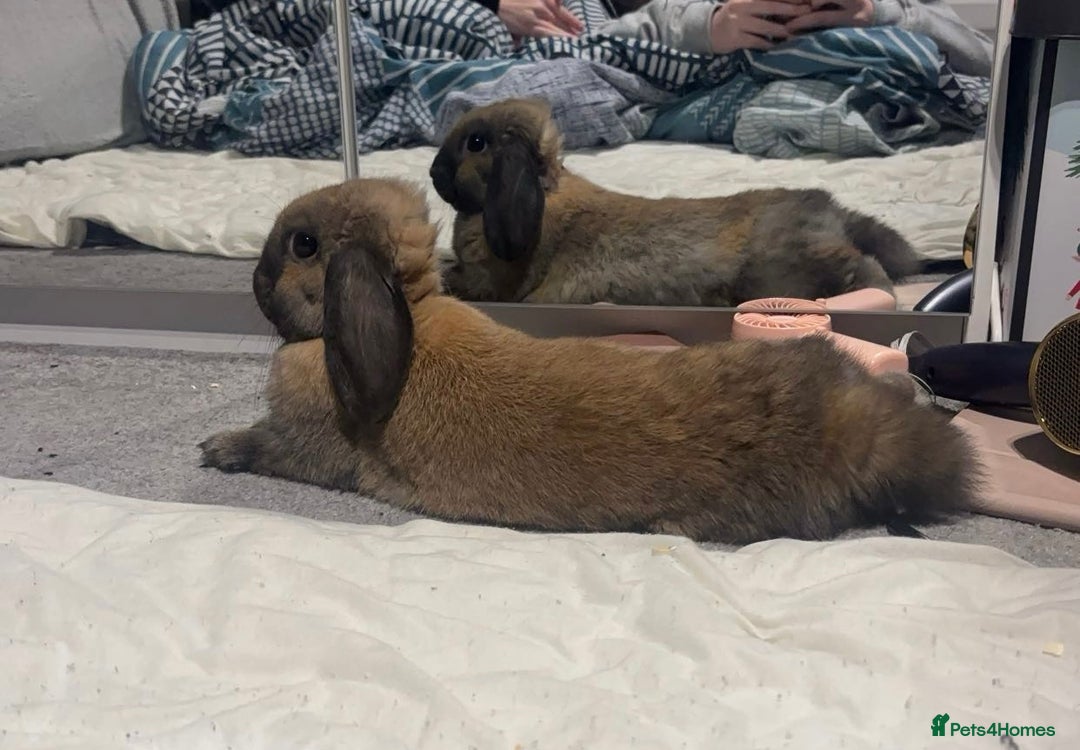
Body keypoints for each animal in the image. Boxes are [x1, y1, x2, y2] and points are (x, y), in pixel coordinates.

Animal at [199, 178, 980, 545]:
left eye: (303, 245)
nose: (255, 281)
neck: (410, 317)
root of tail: (858, 434)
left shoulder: (304, 444)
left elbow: (267, 447)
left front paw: (216, 449)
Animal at [429, 98, 920, 307]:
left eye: (476, 143)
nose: (434, 174)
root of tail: (829, 210)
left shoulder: (489, 284)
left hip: (788, 268)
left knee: (864, 270)